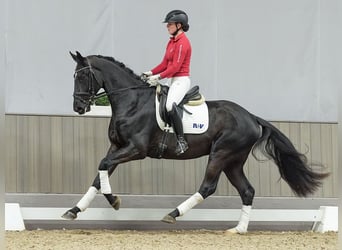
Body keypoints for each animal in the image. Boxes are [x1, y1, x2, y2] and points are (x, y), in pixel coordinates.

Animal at [63, 51, 328, 233]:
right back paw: (238, 229)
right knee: (247, 190)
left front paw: (114, 201)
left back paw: (173, 214)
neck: (132, 102)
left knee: (208, 187)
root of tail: (251, 117)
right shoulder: (117, 147)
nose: (78, 107)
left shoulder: (135, 149)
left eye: (83, 75)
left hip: (220, 154)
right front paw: (73, 211)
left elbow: (103, 166)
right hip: (233, 161)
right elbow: (99, 175)